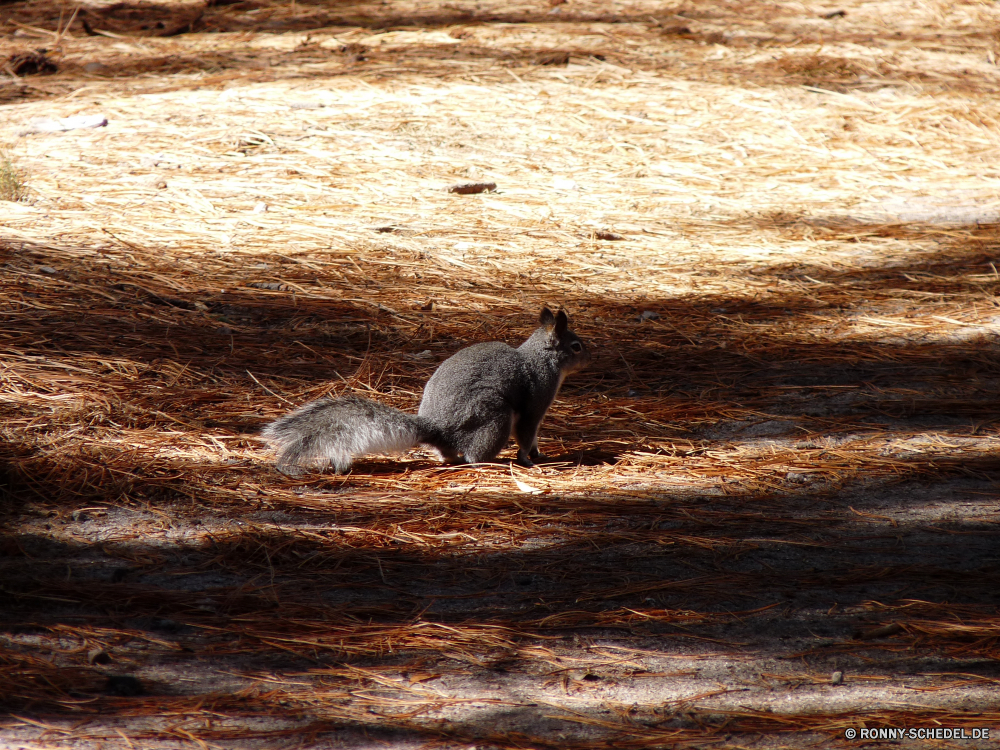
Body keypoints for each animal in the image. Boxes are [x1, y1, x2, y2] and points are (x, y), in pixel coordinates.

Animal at [262, 310, 588, 476]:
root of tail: (438, 428)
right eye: (576, 347)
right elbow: (527, 432)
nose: (590, 358)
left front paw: (537, 453)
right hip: (493, 414)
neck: (539, 358)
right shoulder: (536, 399)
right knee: (474, 455)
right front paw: (529, 458)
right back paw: (491, 462)